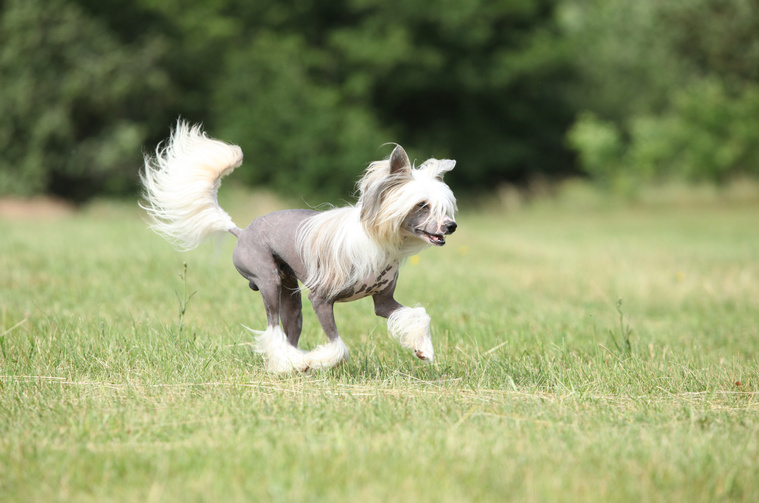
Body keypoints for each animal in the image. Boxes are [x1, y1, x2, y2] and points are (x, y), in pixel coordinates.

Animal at [141, 121, 458, 374]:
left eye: (445, 208)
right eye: (422, 205)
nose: (451, 226)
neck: (380, 243)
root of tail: (241, 231)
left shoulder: (383, 302)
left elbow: (419, 315)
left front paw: (423, 349)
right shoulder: (321, 299)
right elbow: (338, 346)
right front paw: (316, 361)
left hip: (291, 299)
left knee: (288, 331)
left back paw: (290, 362)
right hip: (268, 280)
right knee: (272, 329)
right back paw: (290, 363)